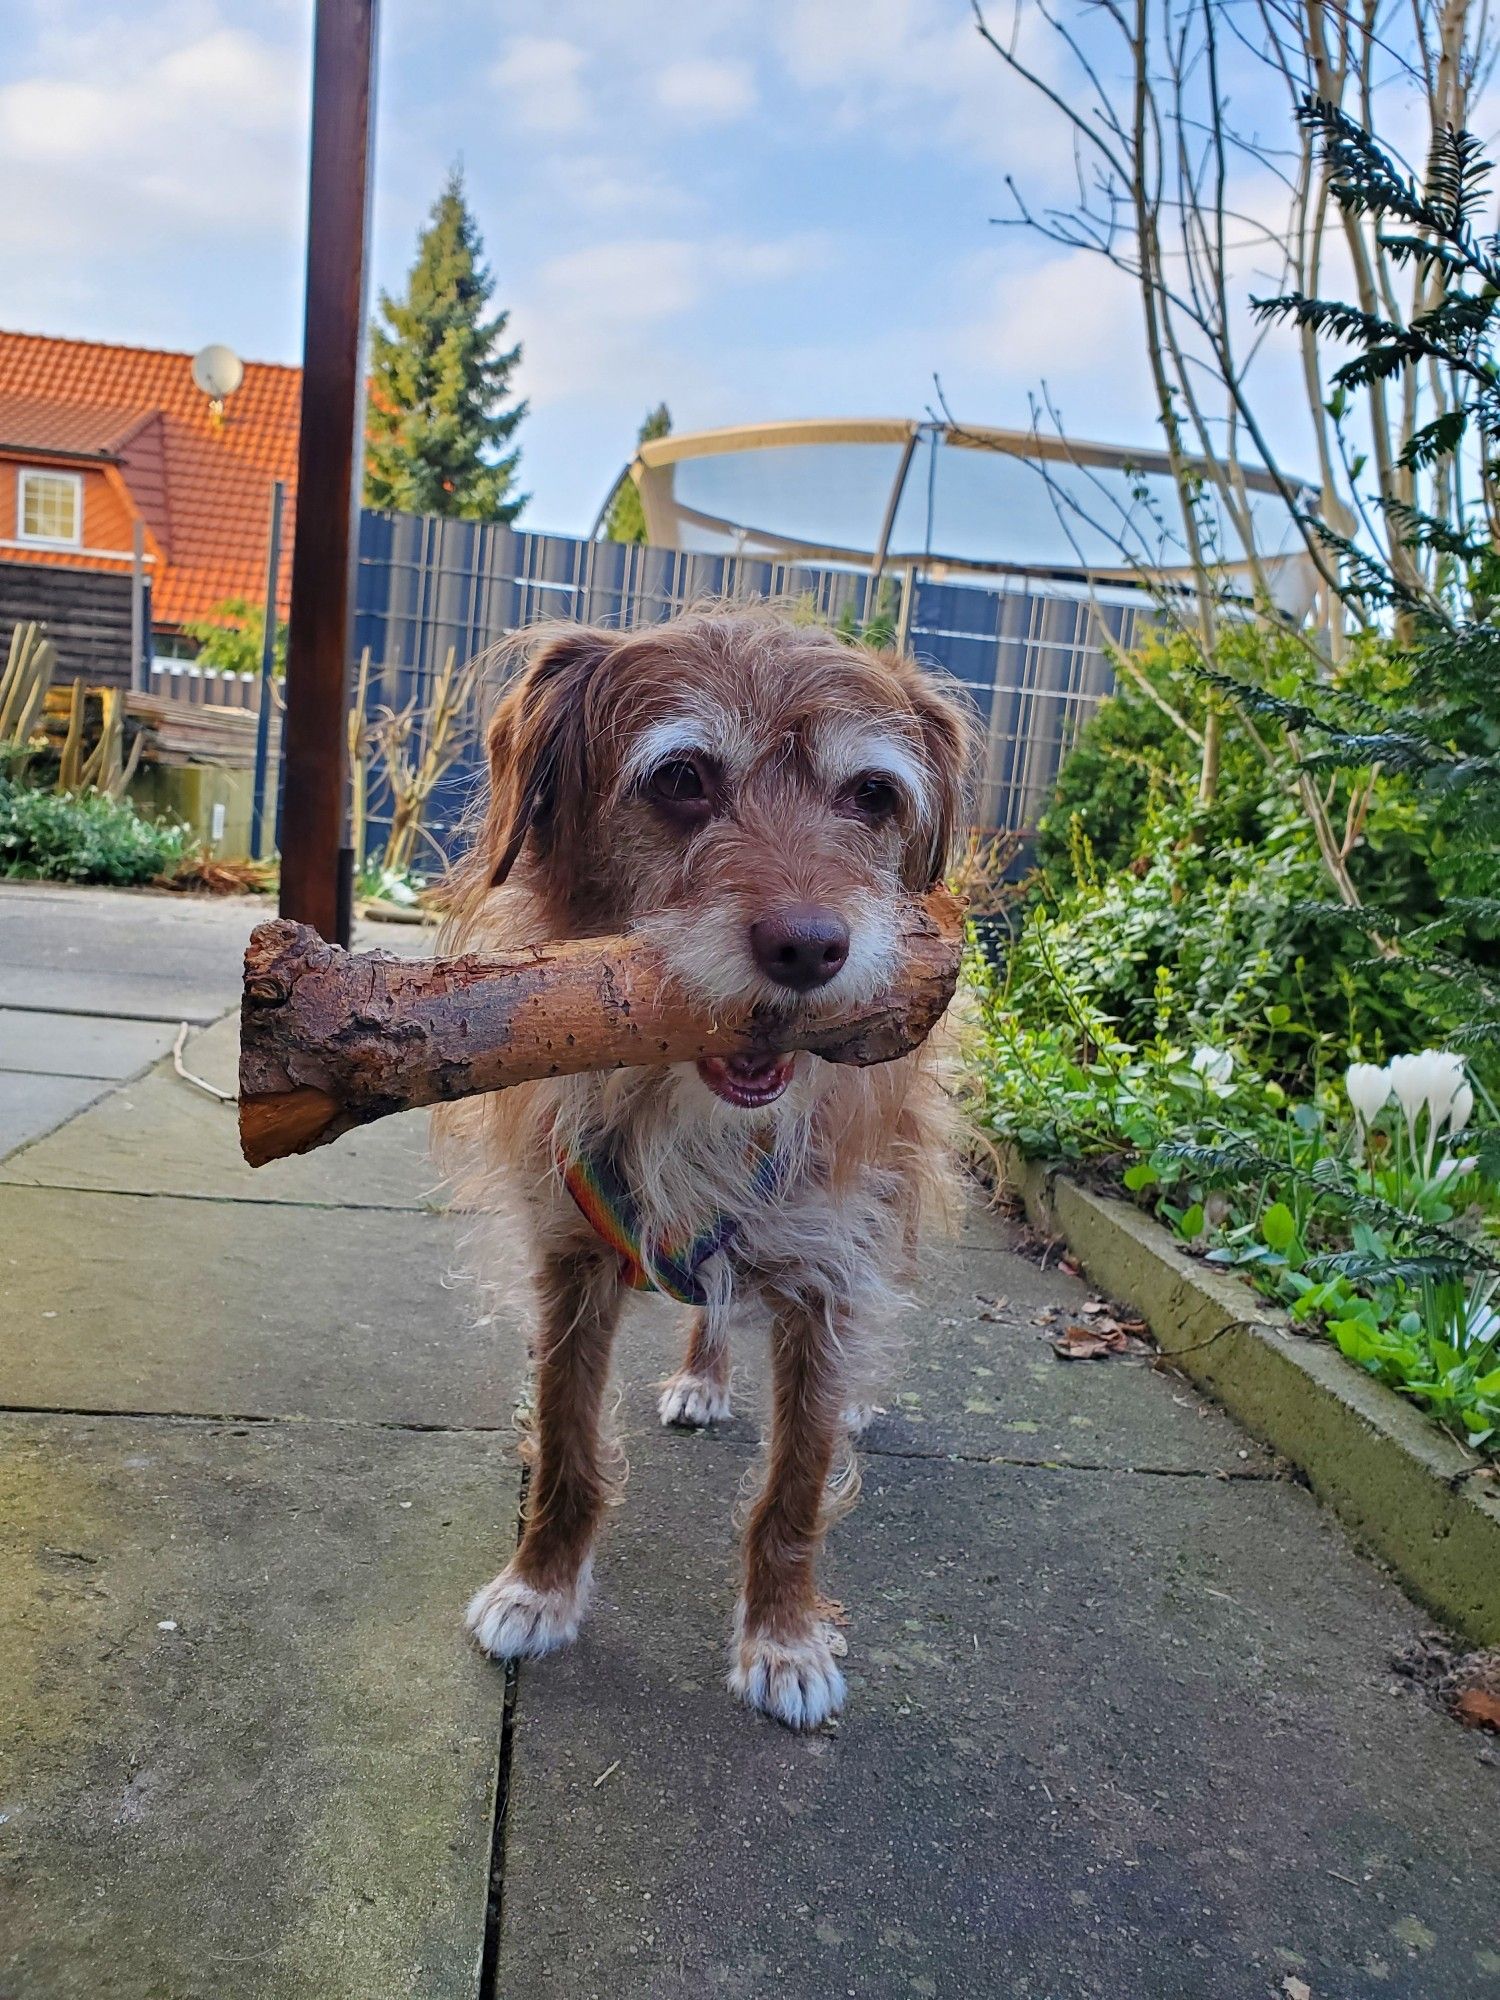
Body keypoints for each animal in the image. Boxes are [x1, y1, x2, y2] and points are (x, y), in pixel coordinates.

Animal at [434, 600, 976, 1728]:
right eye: (681, 778)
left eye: (872, 794)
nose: (811, 947)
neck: (690, 1109)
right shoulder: (570, 1258)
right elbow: (566, 1440)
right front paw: (538, 1587)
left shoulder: (827, 1274)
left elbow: (797, 1480)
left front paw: (784, 1638)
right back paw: (701, 1375)